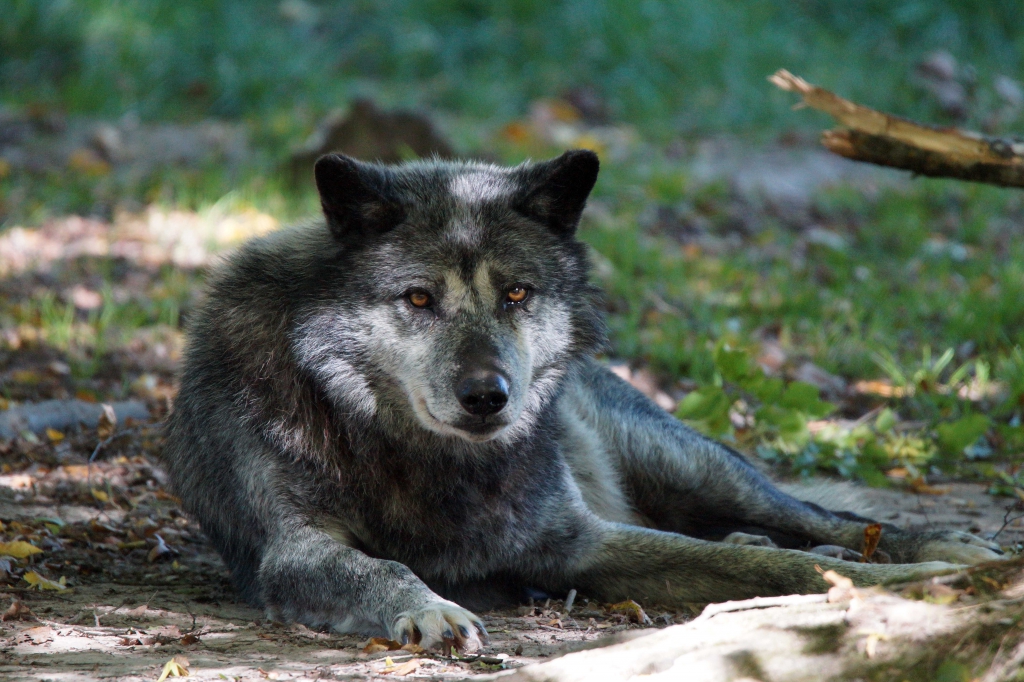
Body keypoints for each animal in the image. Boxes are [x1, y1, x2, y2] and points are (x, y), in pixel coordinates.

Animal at [163, 150, 1002, 652]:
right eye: (419, 298)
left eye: (517, 294)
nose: (487, 396)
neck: (421, 459)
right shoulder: (293, 550)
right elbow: (380, 569)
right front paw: (431, 607)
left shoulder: (582, 543)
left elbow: (773, 570)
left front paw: (919, 582)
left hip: (700, 471)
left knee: (822, 518)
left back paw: (939, 549)